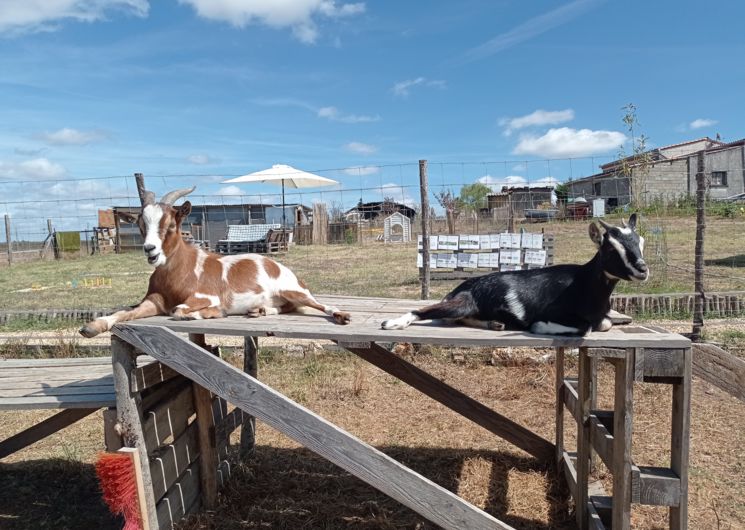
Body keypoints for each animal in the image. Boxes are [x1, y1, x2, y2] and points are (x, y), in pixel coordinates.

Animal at [77, 186, 350, 336]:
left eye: (171, 225)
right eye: (141, 225)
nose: (150, 250)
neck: (180, 272)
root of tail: (281, 267)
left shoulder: (205, 296)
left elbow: (180, 311)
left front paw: (214, 313)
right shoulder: (154, 301)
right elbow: (125, 312)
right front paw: (92, 327)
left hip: (293, 291)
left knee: (318, 304)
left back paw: (341, 315)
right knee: (288, 307)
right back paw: (259, 310)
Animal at [384, 213, 644, 334]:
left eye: (641, 241)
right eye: (610, 248)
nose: (642, 269)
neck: (584, 284)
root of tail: (460, 288)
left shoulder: (603, 316)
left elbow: (606, 323)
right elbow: (586, 327)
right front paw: (538, 328)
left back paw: (495, 324)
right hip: (462, 303)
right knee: (425, 311)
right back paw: (392, 323)